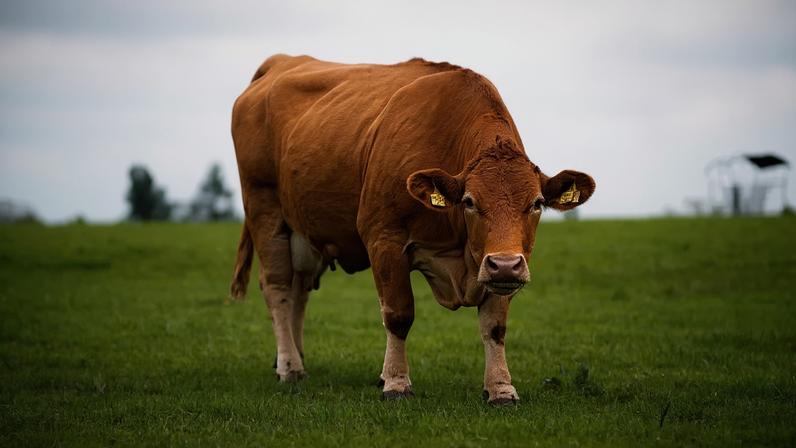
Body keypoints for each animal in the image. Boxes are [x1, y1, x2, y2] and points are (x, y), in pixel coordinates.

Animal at [229, 54, 595, 405]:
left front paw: (501, 389)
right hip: (265, 210)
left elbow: (495, 326)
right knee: (278, 287)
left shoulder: (491, 265)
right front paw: (395, 383)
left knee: (299, 290)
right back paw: (289, 367)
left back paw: (296, 360)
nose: (505, 263)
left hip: (303, 233)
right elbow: (398, 315)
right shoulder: (384, 238)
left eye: (536, 203)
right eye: (469, 201)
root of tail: (281, 61)